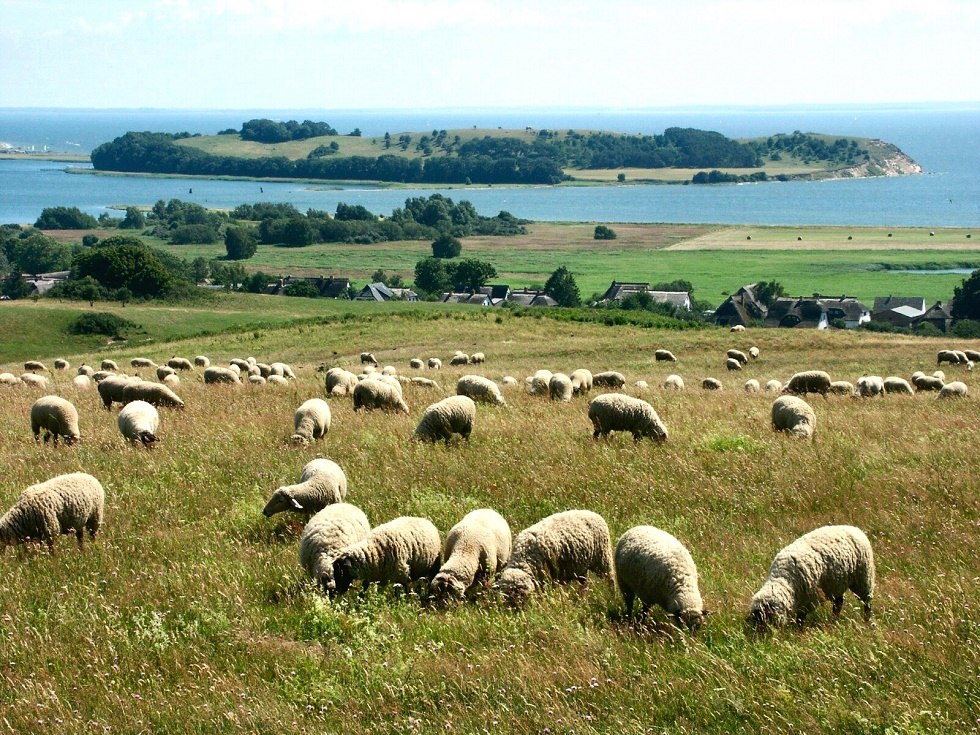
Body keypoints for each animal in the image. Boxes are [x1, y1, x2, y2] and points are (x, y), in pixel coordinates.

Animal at [748, 528, 876, 628]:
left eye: (764, 619)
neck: (784, 578)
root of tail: (856, 529)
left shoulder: (809, 599)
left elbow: (800, 618)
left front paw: (797, 630)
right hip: (837, 584)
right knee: (839, 602)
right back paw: (834, 620)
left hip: (863, 579)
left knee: (867, 602)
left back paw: (866, 621)